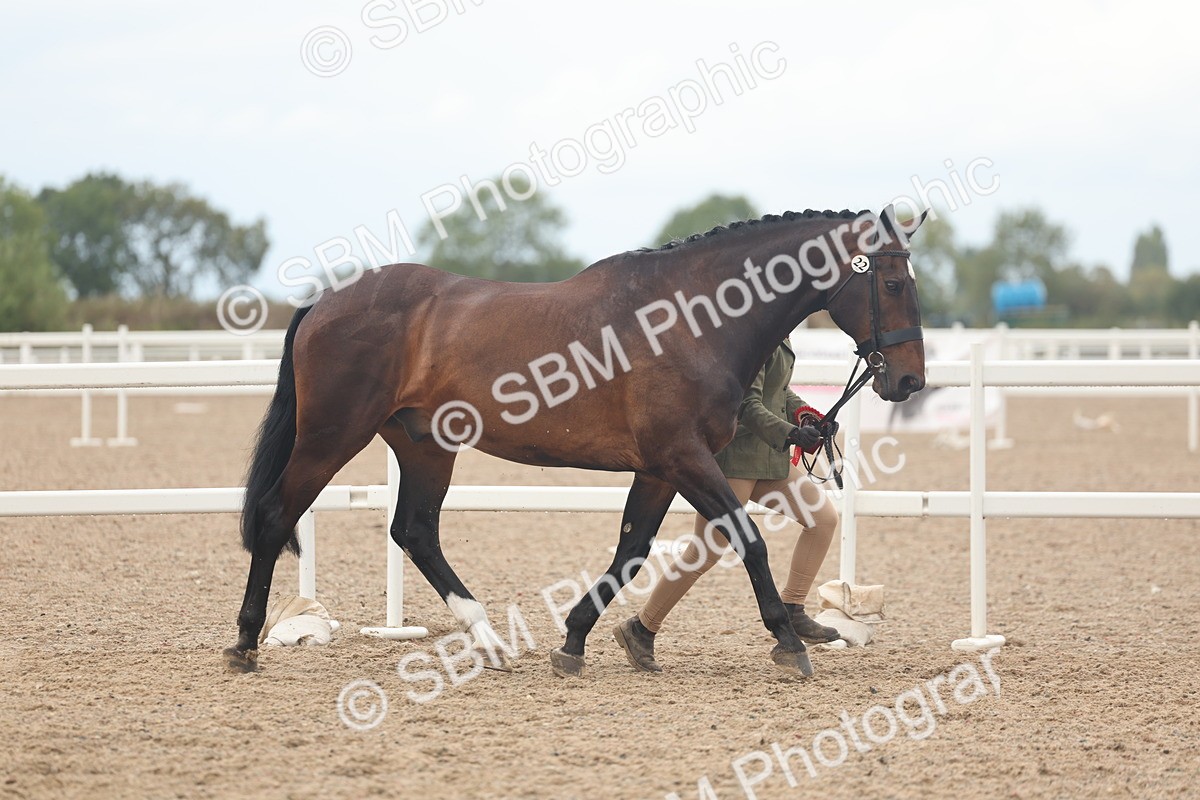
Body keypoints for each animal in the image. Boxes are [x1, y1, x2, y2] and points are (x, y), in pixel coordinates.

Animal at [225, 205, 928, 678]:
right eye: (893, 283)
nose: (909, 380)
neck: (690, 316)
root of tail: (324, 302)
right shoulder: (684, 457)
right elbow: (746, 538)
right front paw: (787, 642)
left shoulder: (661, 468)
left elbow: (633, 551)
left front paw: (575, 640)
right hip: (331, 435)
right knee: (278, 515)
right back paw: (246, 643)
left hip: (425, 446)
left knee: (415, 531)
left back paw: (489, 642)